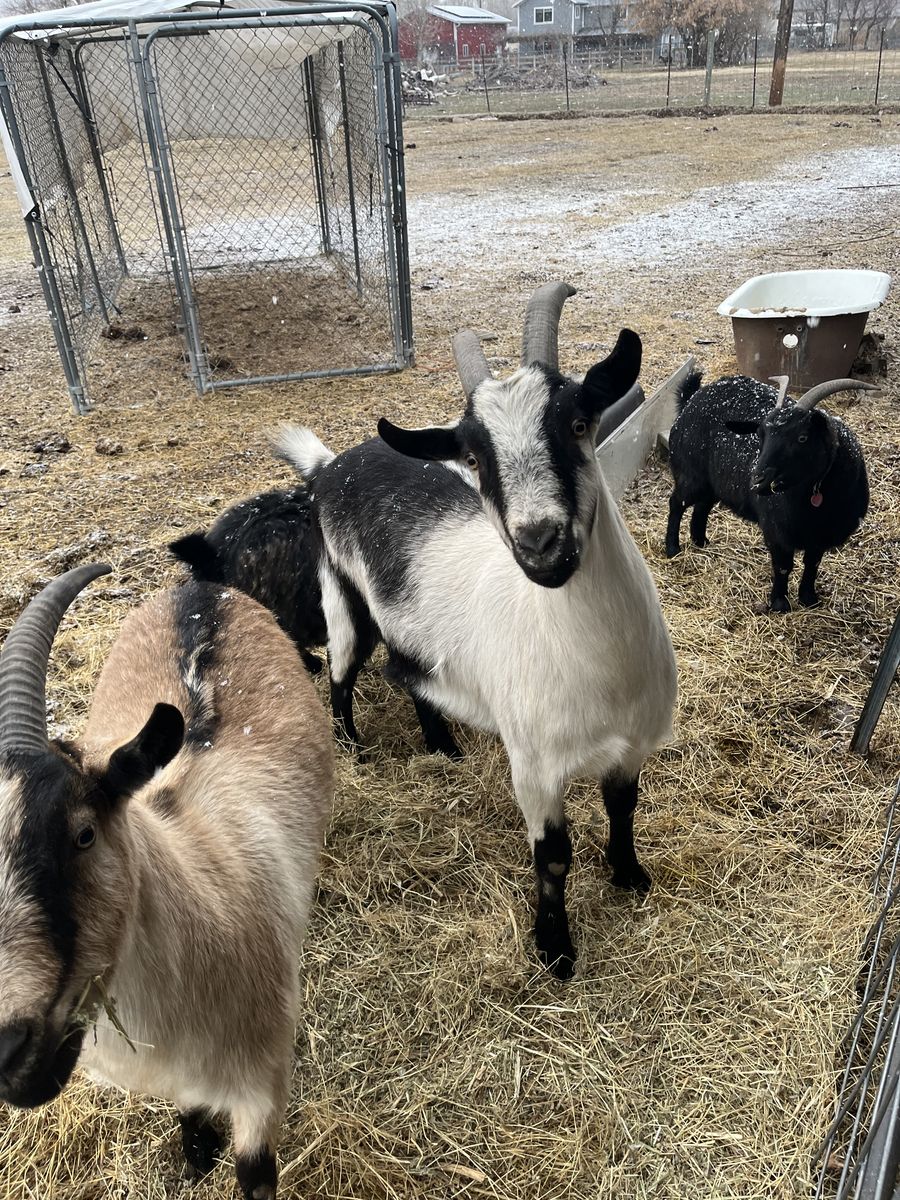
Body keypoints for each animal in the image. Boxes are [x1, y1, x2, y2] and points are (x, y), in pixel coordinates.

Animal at [0, 563, 333, 1199]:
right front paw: (198, 1147)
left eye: (83, 834)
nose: (6, 1053)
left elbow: (255, 1172)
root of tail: (200, 589)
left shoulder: (264, 1085)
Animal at [275, 282, 677, 980]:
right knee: (343, 673)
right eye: (472, 455)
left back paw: (442, 746)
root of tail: (330, 464)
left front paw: (629, 875)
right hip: (342, 596)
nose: (540, 543)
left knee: (405, 672)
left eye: (577, 422)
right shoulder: (534, 765)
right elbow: (553, 858)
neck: (602, 670)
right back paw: (354, 746)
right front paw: (555, 952)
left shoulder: (633, 745)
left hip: (412, 628)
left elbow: (623, 807)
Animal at [665, 373, 876, 611]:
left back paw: (700, 541)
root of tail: (691, 400)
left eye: (802, 437)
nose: (757, 481)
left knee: (702, 506)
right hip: (691, 474)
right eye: (760, 435)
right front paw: (779, 603)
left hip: (713, 483)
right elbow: (783, 566)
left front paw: (808, 599)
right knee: (677, 503)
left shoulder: (819, 536)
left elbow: (812, 564)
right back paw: (672, 548)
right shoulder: (777, 531)